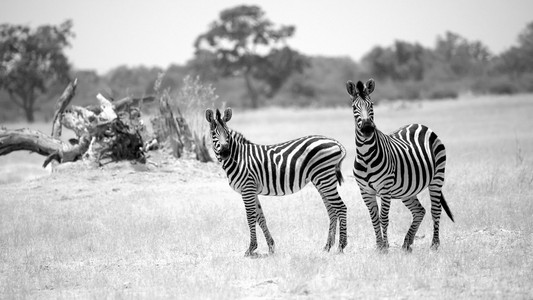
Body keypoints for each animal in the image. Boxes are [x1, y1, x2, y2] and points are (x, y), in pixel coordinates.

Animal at [206, 106, 348, 256]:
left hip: (324, 177)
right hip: (321, 180)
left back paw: (341, 246)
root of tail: (335, 142)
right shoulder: (252, 191)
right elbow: (261, 217)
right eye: (213, 133)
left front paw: (251, 248)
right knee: (332, 210)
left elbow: (250, 217)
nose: (225, 152)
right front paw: (271, 246)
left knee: (341, 207)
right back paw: (327, 246)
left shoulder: (247, 188)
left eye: (227, 133)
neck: (239, 157)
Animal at [344, 78, 454, 252]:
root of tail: (421, 125)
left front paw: (385, 247)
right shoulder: (365, 191)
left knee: (435, 210)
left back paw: (434, 245)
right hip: (408, 190)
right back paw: (407, 243)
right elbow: (374, 218)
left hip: (437, 178)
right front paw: (379, 246)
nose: (367, 129)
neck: (366, 156)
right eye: (354, 107)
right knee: (419, 211)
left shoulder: (385, 188)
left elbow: (383, 218)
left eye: (372, 105)